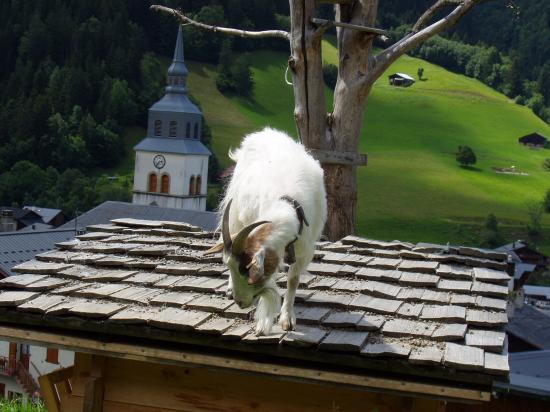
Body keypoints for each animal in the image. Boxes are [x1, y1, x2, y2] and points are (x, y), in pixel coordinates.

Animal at [207, 128, 328, 334]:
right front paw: (264, 322)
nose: (240, 302)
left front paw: (287, 319)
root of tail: (261, 133)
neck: (289, 203)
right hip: (236, 213)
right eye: (231, 266)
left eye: (246, 269)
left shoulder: (305, 250)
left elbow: (293, 280)